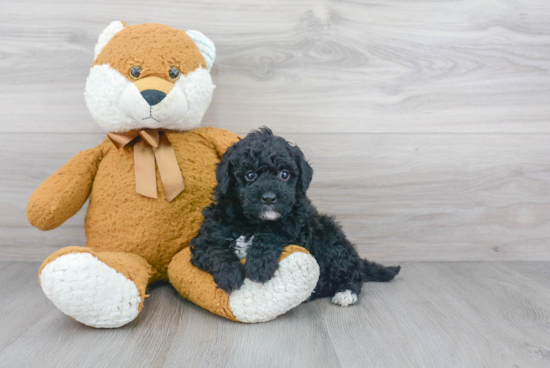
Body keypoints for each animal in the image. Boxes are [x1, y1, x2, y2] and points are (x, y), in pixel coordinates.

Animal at [191, 128, 402, 306]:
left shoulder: (297, 232)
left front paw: (259, 265)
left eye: (284, 174)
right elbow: (214, 250)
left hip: (331, 241)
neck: (255, 222)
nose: (269, 197)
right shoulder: (205, 238)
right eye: (250, 175)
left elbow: (271, 236)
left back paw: (345, 292)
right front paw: (230, 274)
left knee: (352, 271)